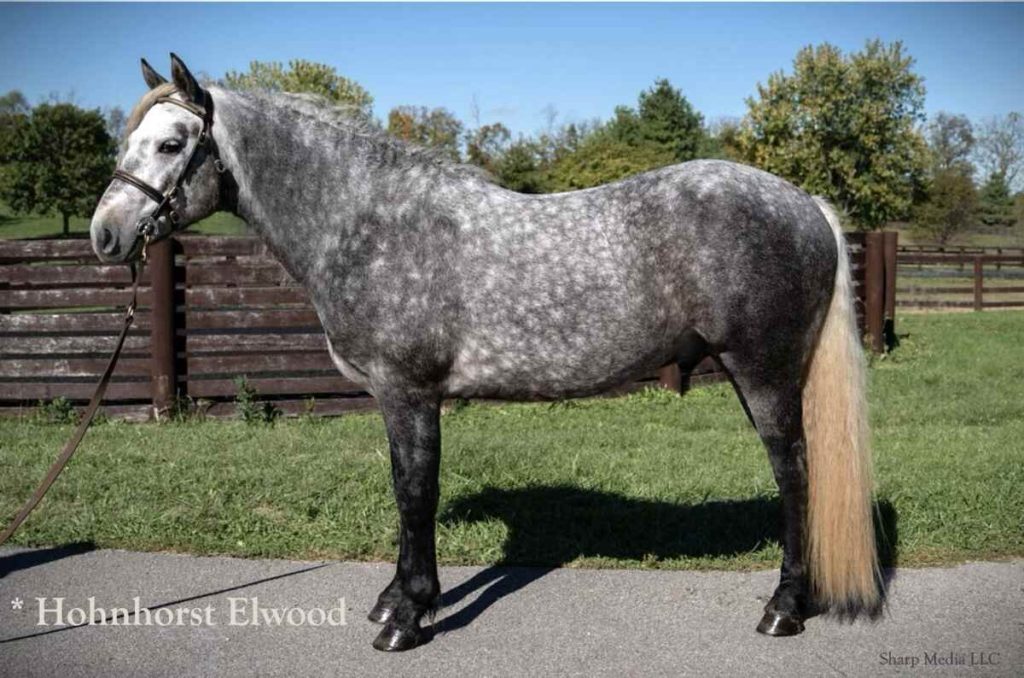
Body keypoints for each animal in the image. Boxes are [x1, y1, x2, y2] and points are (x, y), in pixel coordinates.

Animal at [91, 54, 880, 652]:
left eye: (171, 144)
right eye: (128, 143)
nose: (105, 235)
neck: (373, 225)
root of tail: (805, 203)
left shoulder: (409, 393)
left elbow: (415, 493)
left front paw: (407, 618)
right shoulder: (397, 400)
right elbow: (406, 491)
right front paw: (397, 599)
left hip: (763, 374)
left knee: (795, 473)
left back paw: (784, 608)